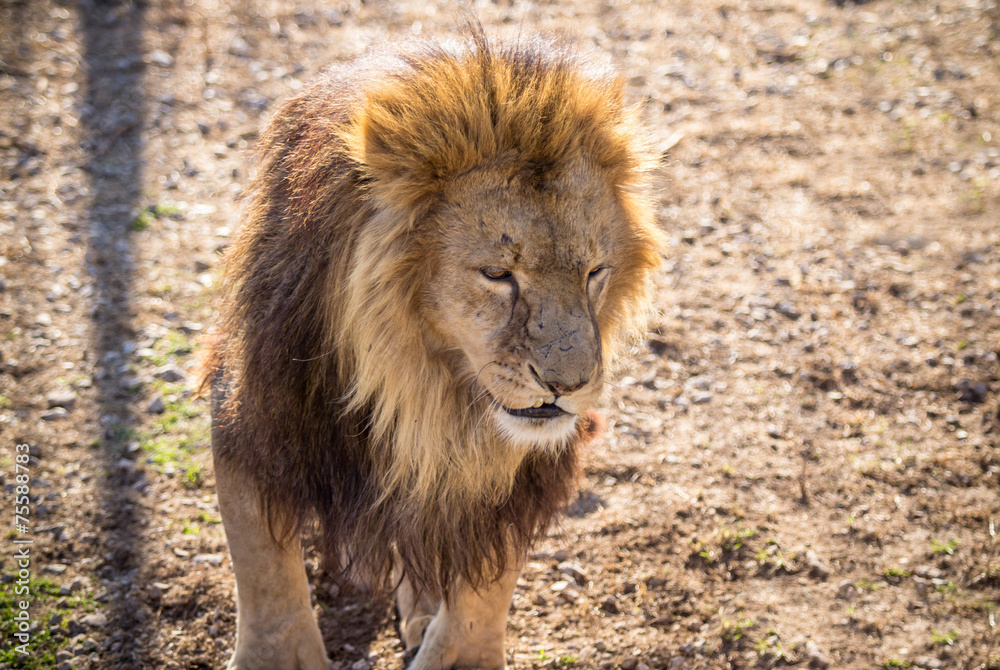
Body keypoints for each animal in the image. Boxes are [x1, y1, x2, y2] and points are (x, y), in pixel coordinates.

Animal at [202, 31, 662, 670]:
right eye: (497, 274)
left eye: (595, 272)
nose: (569, 386)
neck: (421, 381)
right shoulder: (256, 414)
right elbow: (264, 568)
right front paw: (277, 655)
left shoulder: (518, 472)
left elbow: (483, 589)